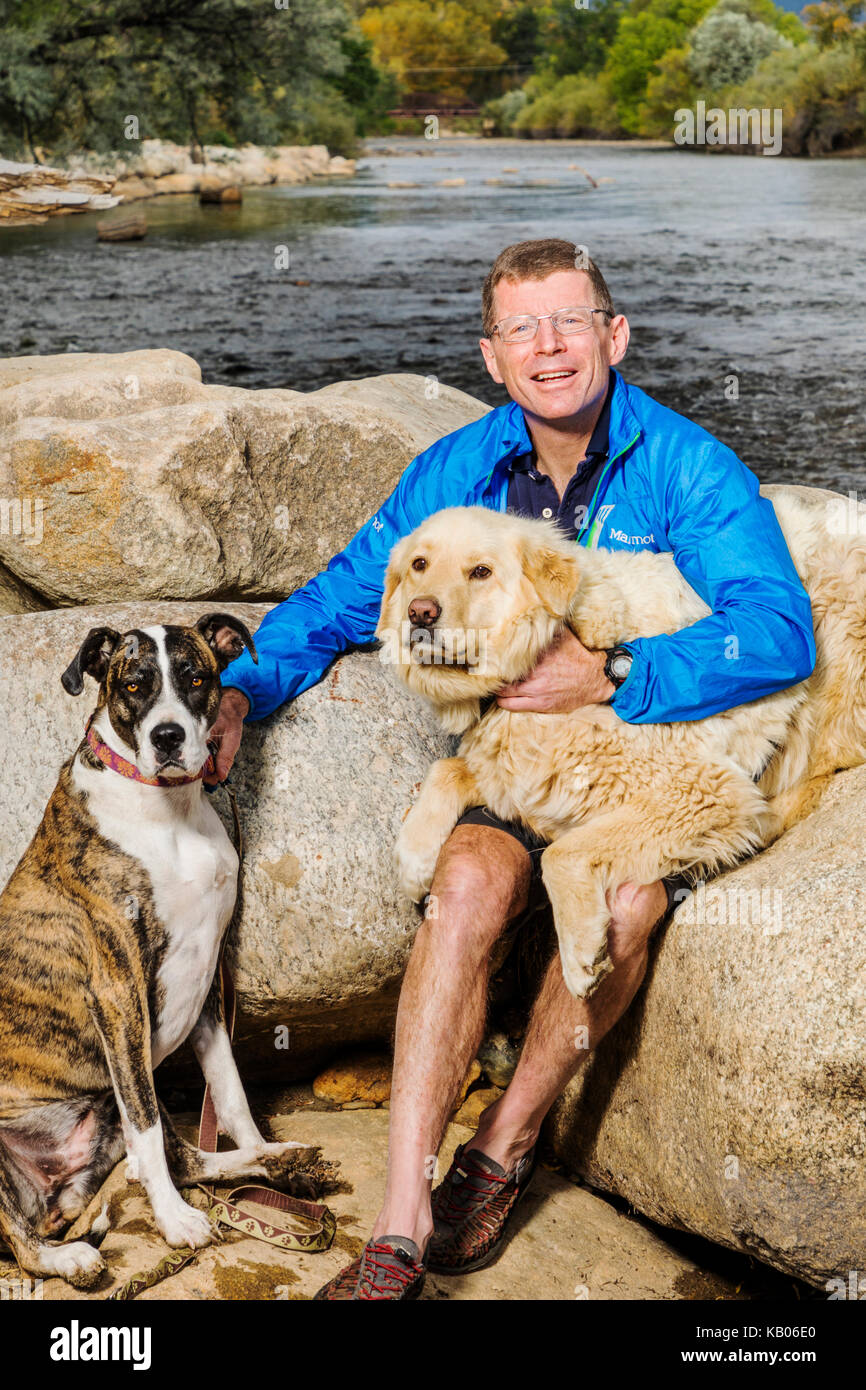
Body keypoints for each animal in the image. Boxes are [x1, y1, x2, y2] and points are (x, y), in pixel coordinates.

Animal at [0, 619, 316, 1289]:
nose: (167, 737)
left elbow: (230, 1095)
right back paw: (69, 1258)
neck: (170, 813)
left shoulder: (208, 984)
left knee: (188, 1159)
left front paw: (259, 1151)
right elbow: (147, 1130)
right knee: (23, 1242)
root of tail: (52, 1197)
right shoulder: (118, 994)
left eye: (195, 678)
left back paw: (286, 1164)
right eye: (134, 684)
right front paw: (174, 1222)